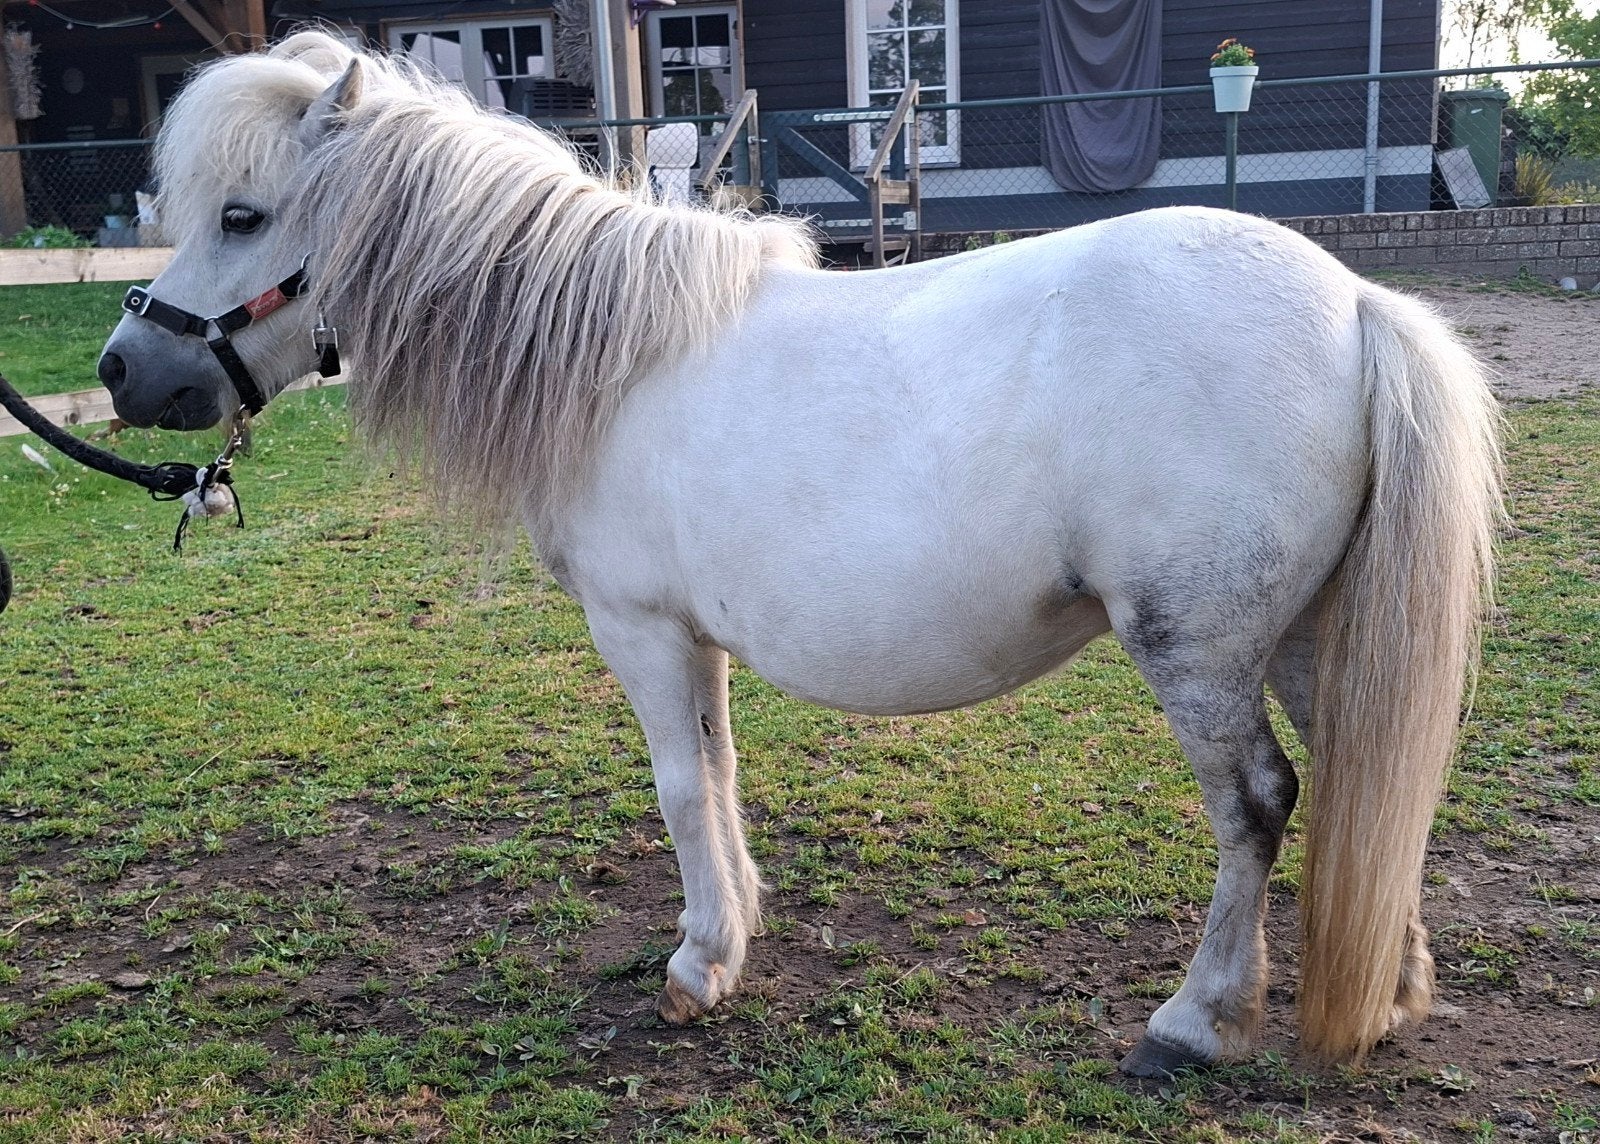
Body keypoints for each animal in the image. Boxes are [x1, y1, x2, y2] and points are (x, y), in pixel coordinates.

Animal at [97, 31, 1502, 1077]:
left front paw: (696, 963)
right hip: (1309, 632)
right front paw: (730, 936)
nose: (124, 370)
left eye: (243, 213)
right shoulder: (691, 633)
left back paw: (1197, 1020)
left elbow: (677, 788)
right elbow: (716, 778)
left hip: (1200, 649)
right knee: (1369, 775)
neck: (610, 355)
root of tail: (1353, 304)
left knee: (1259, 804)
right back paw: (1386, 994)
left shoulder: (637, 627)